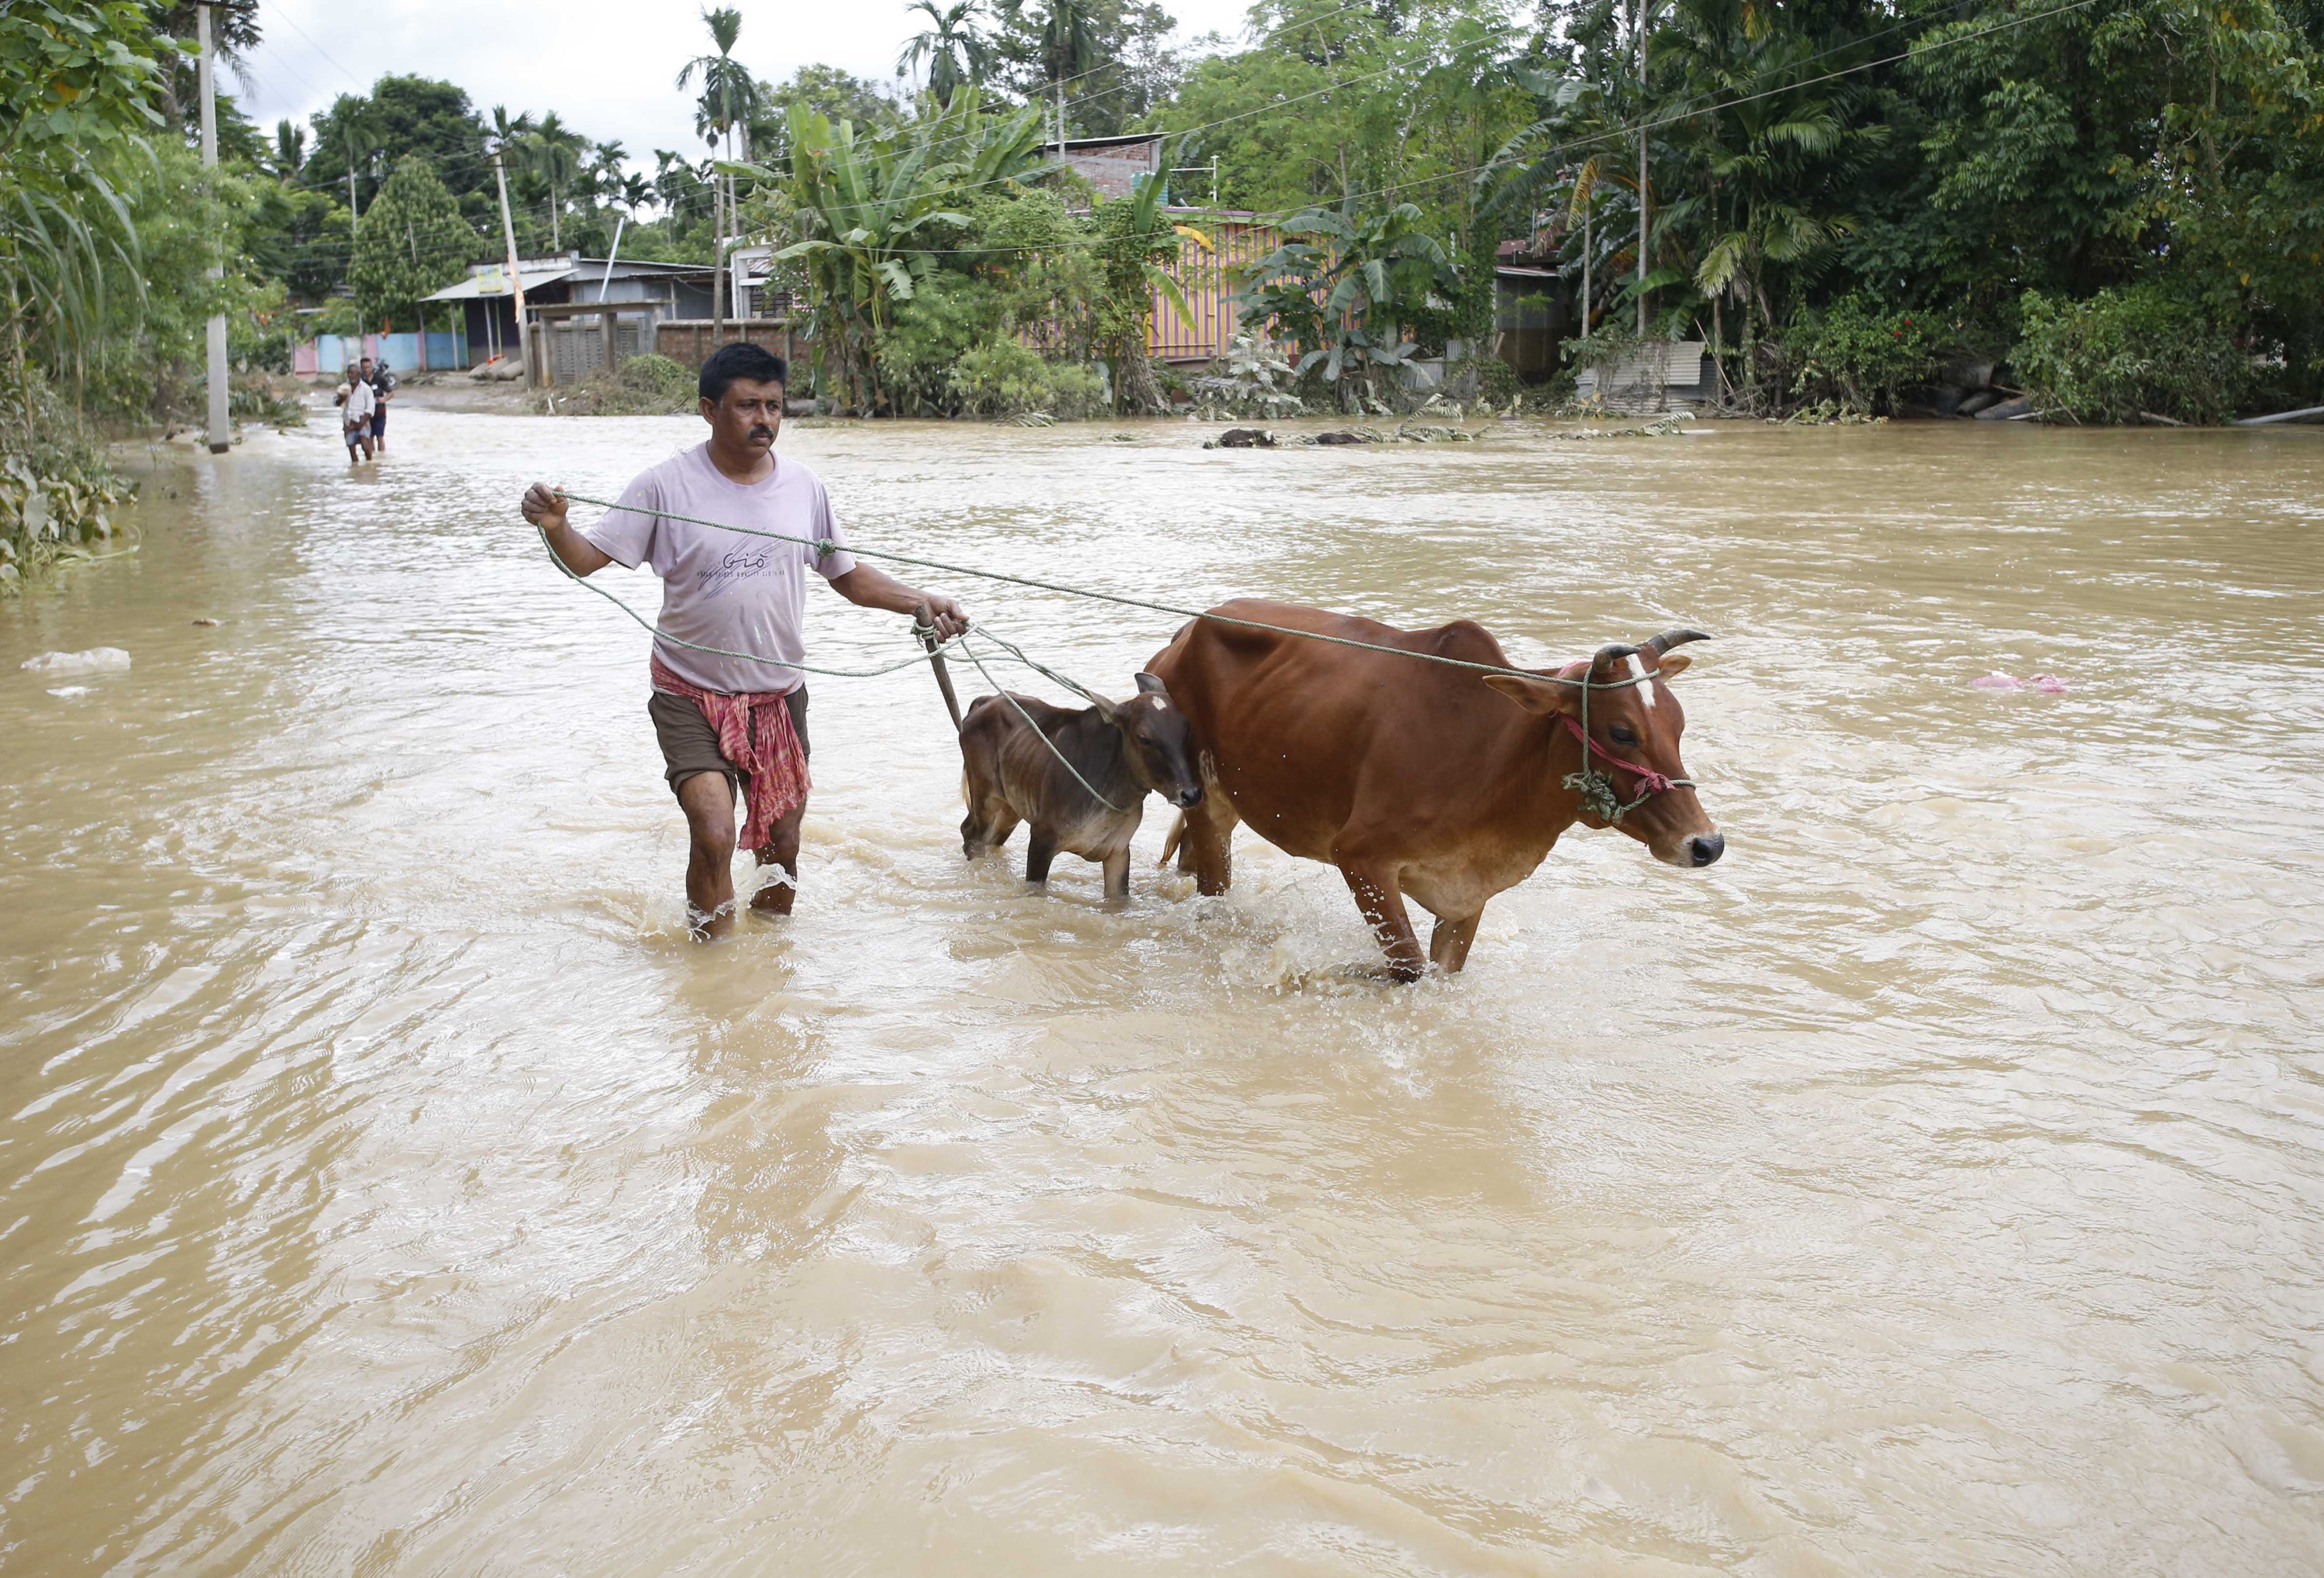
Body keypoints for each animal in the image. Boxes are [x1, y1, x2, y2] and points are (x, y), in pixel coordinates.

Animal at [1148, 600, 1729, 981]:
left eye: (1678, 725)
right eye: (1622, 732)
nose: (1707, 844)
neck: (1495, 756)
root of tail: (1186, 633)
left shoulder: (1468, 894)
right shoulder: (1360, 858)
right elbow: (1407, 967)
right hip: (1206, 801)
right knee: (1212, 887)